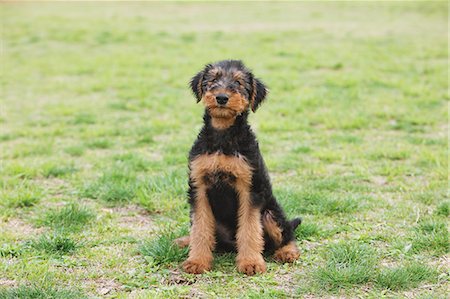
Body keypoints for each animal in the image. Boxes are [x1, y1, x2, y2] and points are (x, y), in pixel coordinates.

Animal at [176, 59, 302, 276]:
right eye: (213, 79)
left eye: (239, 83)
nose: (221, 97)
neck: (222, 135)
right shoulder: (198, 187)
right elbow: (200, 229)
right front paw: (197, 262)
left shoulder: (249, 188)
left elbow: (249, 229)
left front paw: (251, 263)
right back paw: (184, 241)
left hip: (270, 214)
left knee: (286, 234)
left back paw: (288, 252)